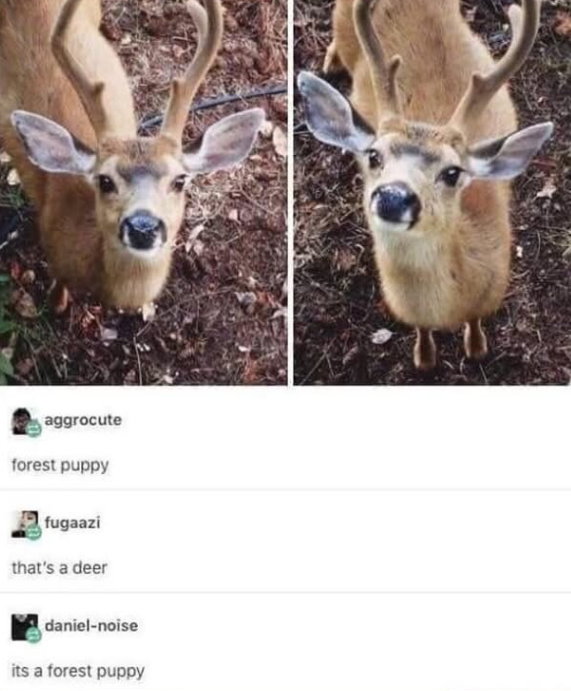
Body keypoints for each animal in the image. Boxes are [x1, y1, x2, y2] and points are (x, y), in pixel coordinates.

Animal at [298, 0, 553, 371]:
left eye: (453, 172)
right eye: (373, 155)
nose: (393, 196)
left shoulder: (490, 292)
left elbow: (475, 325)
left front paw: (476, 348)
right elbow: (422, 333)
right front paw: (425, 357)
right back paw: (330, 61)